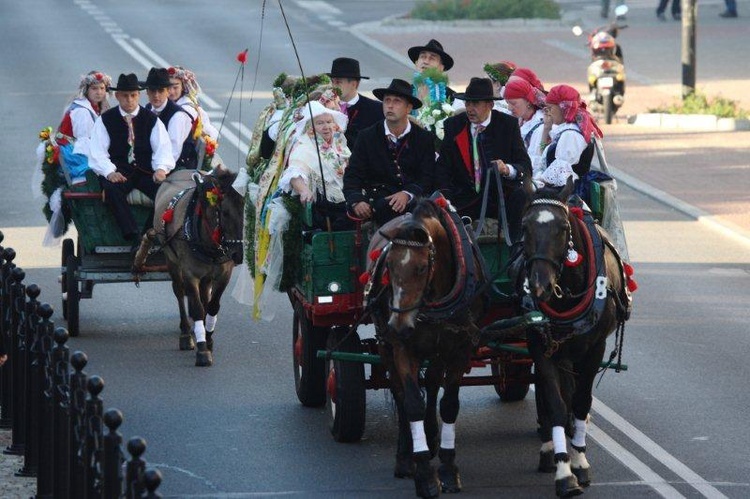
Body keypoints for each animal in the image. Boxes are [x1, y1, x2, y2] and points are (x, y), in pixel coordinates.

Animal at [132, 168, 244, 368]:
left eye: (246, 210)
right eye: (224, 213)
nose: (238, 255)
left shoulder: (224, 274)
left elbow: (213, 306)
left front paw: (208, 338)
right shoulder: (190, 274)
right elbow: (197, 308)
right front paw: (202, 350)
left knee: (204, 296)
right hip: (172, 261)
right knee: (179, 291)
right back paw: (186, 333)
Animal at [366, 197, 488, 498]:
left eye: (421, 268)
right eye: (389, 267)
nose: (398, 325)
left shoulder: (459, 347)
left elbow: (449, 404)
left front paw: (447, 468)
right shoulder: (402, 348)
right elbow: (412, 404)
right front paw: (423, 474)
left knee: (432, 383)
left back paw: (432, 436)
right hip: (386, 346)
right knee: (399, 393)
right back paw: (405, 455)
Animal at [524, 179, 636, 496]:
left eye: (563, 227)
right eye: (524, 226)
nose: (539, 286)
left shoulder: (594, 349)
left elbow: (581, 401)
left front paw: (580, 461)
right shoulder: (541, 347)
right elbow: (557, 405)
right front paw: (564, 470)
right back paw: (549, 447)